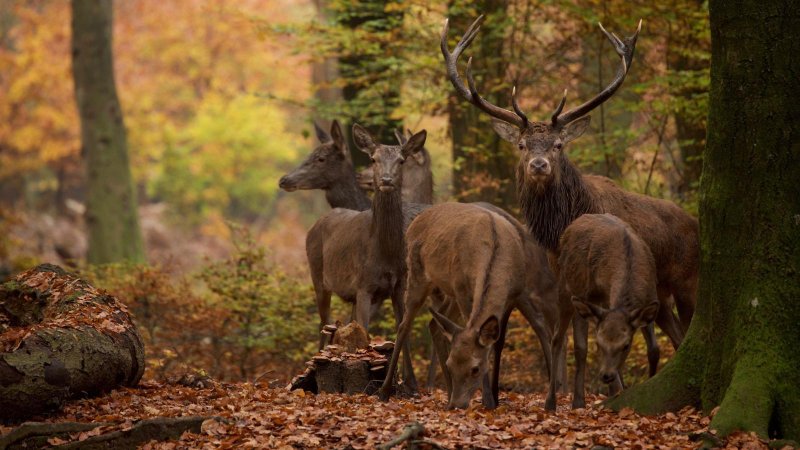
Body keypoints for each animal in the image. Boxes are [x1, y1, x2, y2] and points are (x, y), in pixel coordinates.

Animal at [306, 125, 432, 386]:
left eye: (401, 160)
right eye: (373, 158)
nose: (386, 180)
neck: (384, 252)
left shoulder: (398, 285)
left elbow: (402, 329)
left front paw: (409, 383)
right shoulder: (364, 286)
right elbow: (364, 331)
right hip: (317, 276)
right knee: (324, 321)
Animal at [552, 214, 664, 408]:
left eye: (626, 345)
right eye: (599, 343)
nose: (606, 375)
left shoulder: (650, 296)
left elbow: (654, 349)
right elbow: (582, 346)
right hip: (568, 287)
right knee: (562, 341)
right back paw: (559, 402)